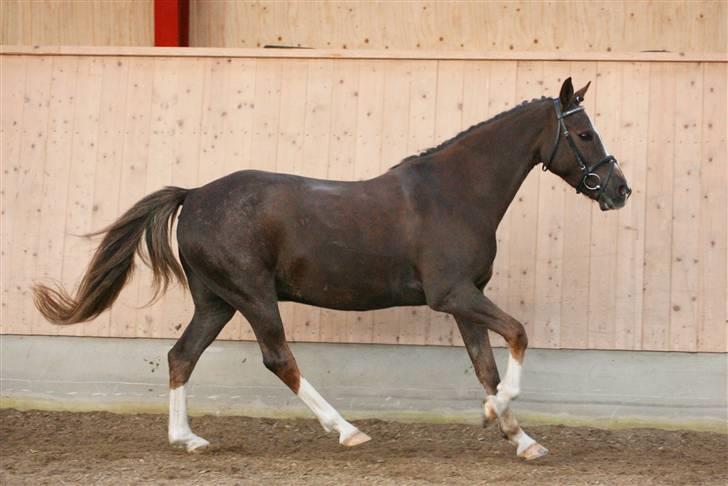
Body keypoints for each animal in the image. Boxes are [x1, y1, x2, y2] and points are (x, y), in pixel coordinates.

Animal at [32, 78, 632, 462]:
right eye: (584, 135)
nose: (619, 189)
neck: (455, 194)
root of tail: (195, 195)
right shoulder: (452, 295)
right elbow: (519, 335)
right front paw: (494, 416)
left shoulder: (466, 301)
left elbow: (487, 365)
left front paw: (520, 438)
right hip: (253, 296)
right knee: (278, 359)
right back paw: (346, 431)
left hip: (217, 300)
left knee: (182, 356)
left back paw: (188, 440)